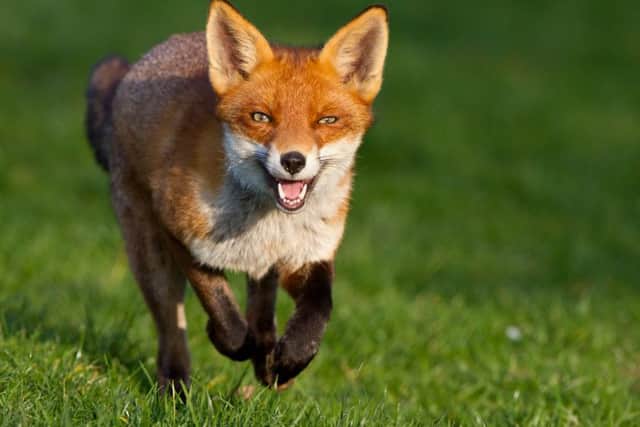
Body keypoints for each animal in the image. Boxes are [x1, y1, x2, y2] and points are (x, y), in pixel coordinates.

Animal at [85, 0, 388, 391]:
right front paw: (224, 338)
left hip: (261, 268)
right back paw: (176, 383)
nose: (293, 160)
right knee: (170, 326)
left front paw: (291, 359)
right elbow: (222, 309)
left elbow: (319, 309)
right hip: (149, 256)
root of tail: (144, 62)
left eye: (326, 121)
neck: (270, 223)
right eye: (260, 117)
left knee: (262, 309)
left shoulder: (309, 253)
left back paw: (268, 360)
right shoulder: (180, 235)